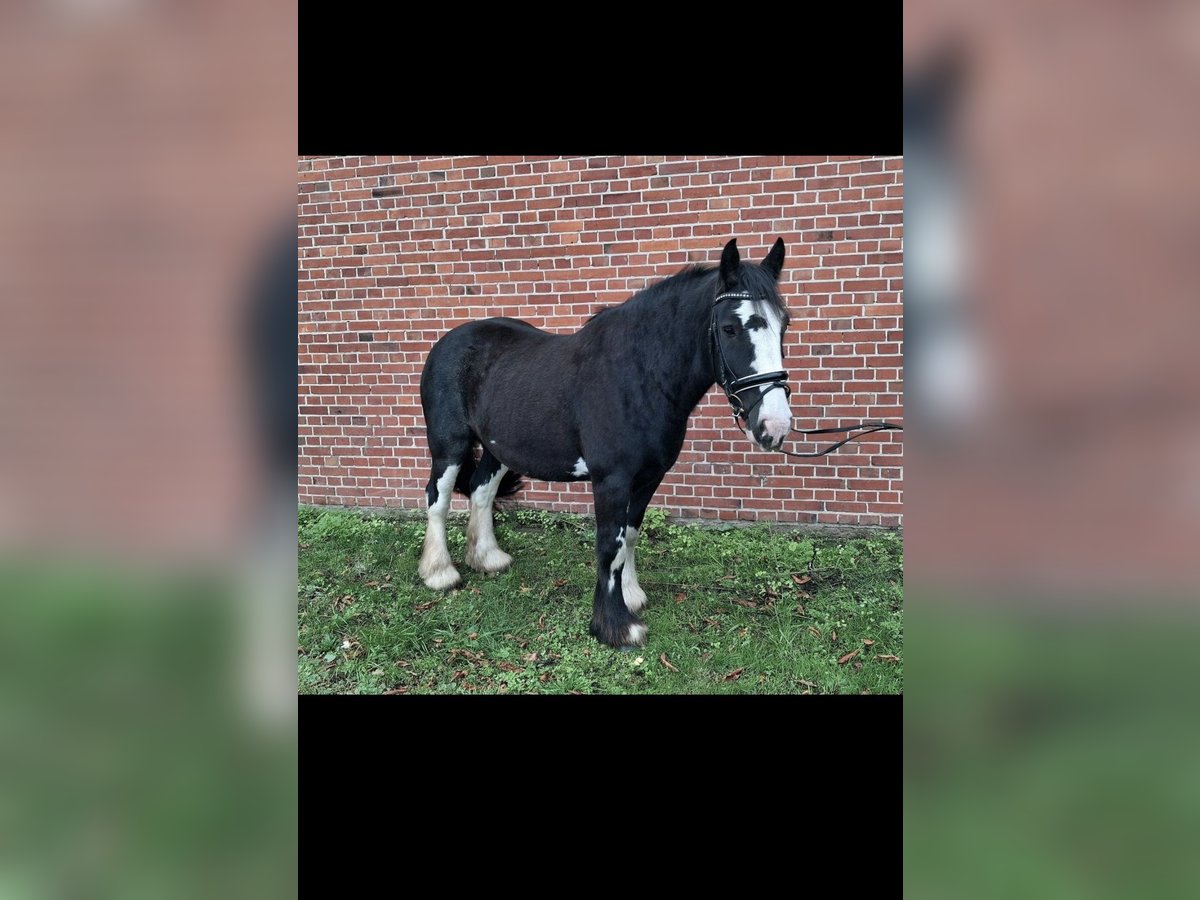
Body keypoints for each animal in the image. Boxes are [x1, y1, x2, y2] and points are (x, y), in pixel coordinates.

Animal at [417, 237, 793, 648]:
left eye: (784, 325)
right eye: (729, 328)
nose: (774, 425)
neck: (637, 375)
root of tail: (449, 341)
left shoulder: (648, 478)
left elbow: (629, 535)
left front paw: (631, 595)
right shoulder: (611, 480)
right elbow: (609, 544)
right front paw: (615, 626)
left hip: (497, 448)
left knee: (482, 492)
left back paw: (487, 558)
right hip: (449, 444)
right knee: (437, 498)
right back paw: (439, 573)